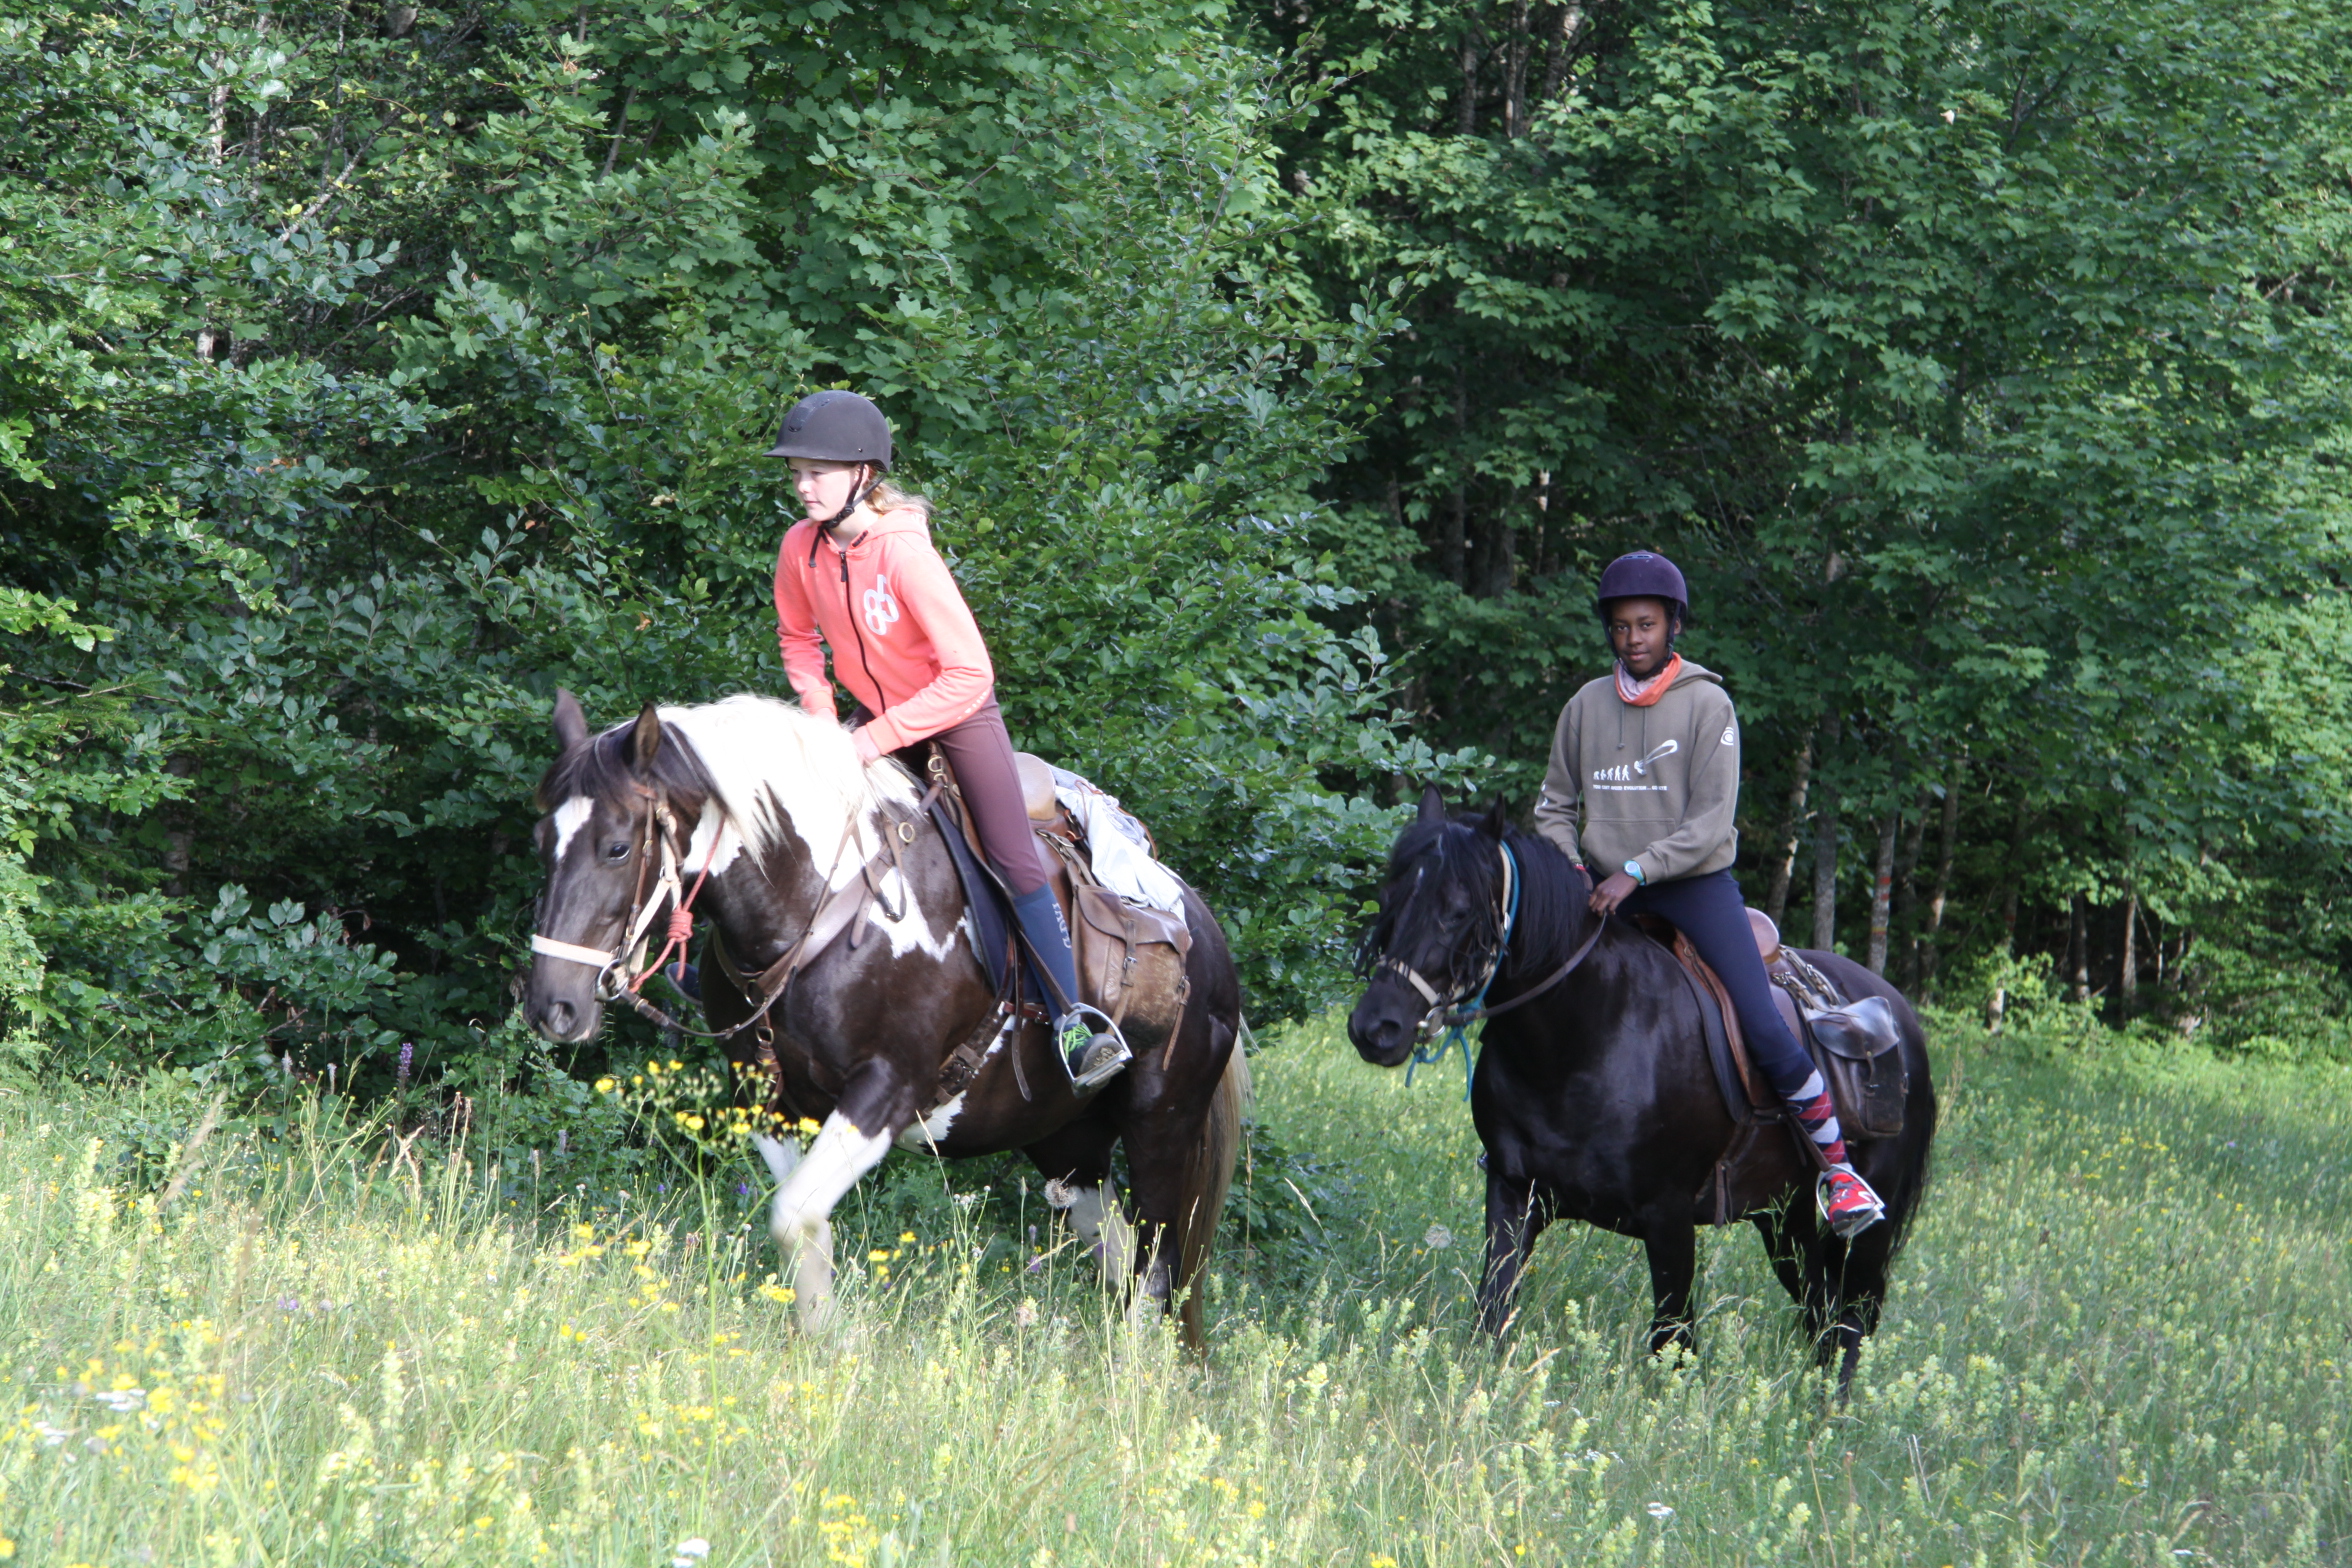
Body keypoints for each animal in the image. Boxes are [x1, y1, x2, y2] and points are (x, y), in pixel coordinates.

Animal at [522, 691, 1249, 1345]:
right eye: (541, 839)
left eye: (617, 848)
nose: (553, 1005)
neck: (819, 906)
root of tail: (1203, 927)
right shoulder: (767, 1100)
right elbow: (802, 1225)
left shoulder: (887, 1089)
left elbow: (794, 1215)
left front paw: (841, 1348)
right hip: (1066, 1145)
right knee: (1122, 1255)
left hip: (1160, 1128)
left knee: (1160, 1266)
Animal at [1347, 790, 1936, 1394]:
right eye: (1389, 898)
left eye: (1459, 910)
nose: (1376, 1028)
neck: (1580, 1039)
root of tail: (1897, 1012)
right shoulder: (1514, 1193)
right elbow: (1492, 1312)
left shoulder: (1668, 1218)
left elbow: (1673, 1344)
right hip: (1783, 1217)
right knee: (1822, 1313)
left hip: (1865, 1233)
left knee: (1851, 1321)